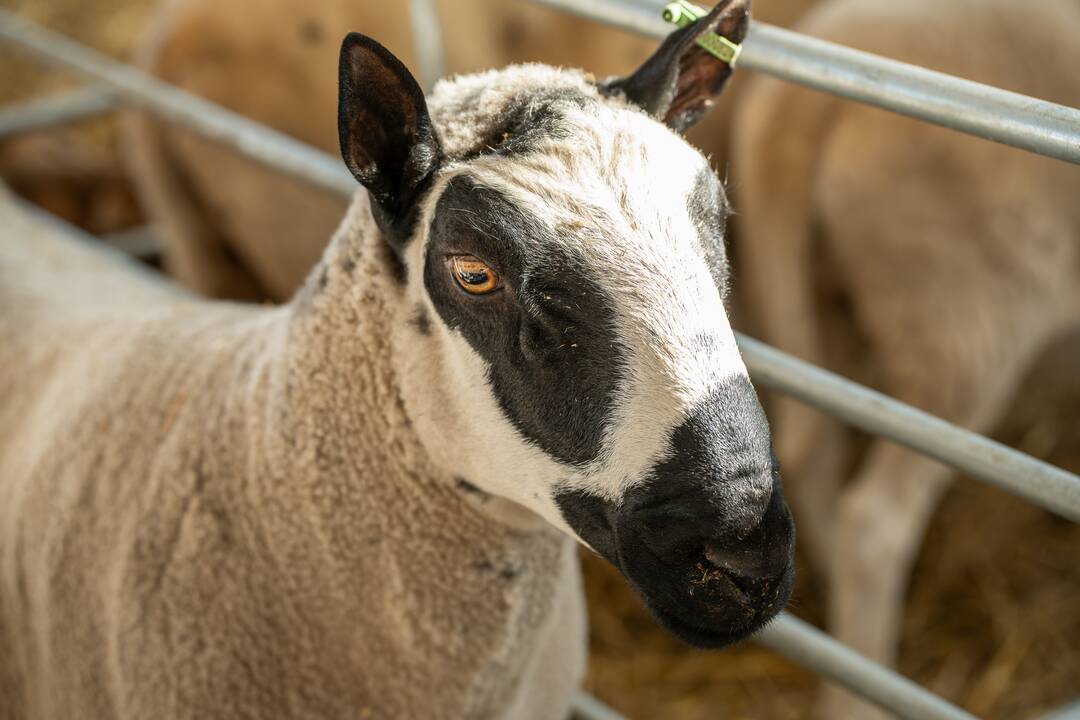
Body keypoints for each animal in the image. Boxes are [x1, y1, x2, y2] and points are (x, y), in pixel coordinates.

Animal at [734, 1, 1080, 720]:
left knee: (811, 455)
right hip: (961, 324)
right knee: (874, 522)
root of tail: (798, 108)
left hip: (820, 303)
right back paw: (862, 689)